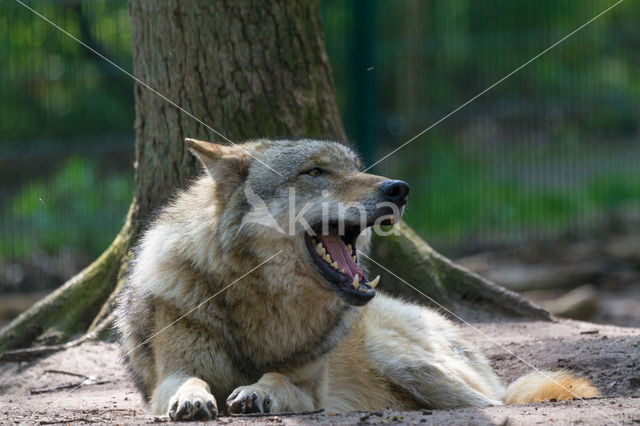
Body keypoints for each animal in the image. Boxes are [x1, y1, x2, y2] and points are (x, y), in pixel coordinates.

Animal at [112, 139, 596, 420]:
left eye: (357, 168)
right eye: (315, 171)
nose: (399, 189)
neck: (261, 301)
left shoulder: (311, 390)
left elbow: (279, 379)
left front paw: (256, 391)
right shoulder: (169, 375)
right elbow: (188, 381)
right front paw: (194, 398)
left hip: (409, 364)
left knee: (498, 402)